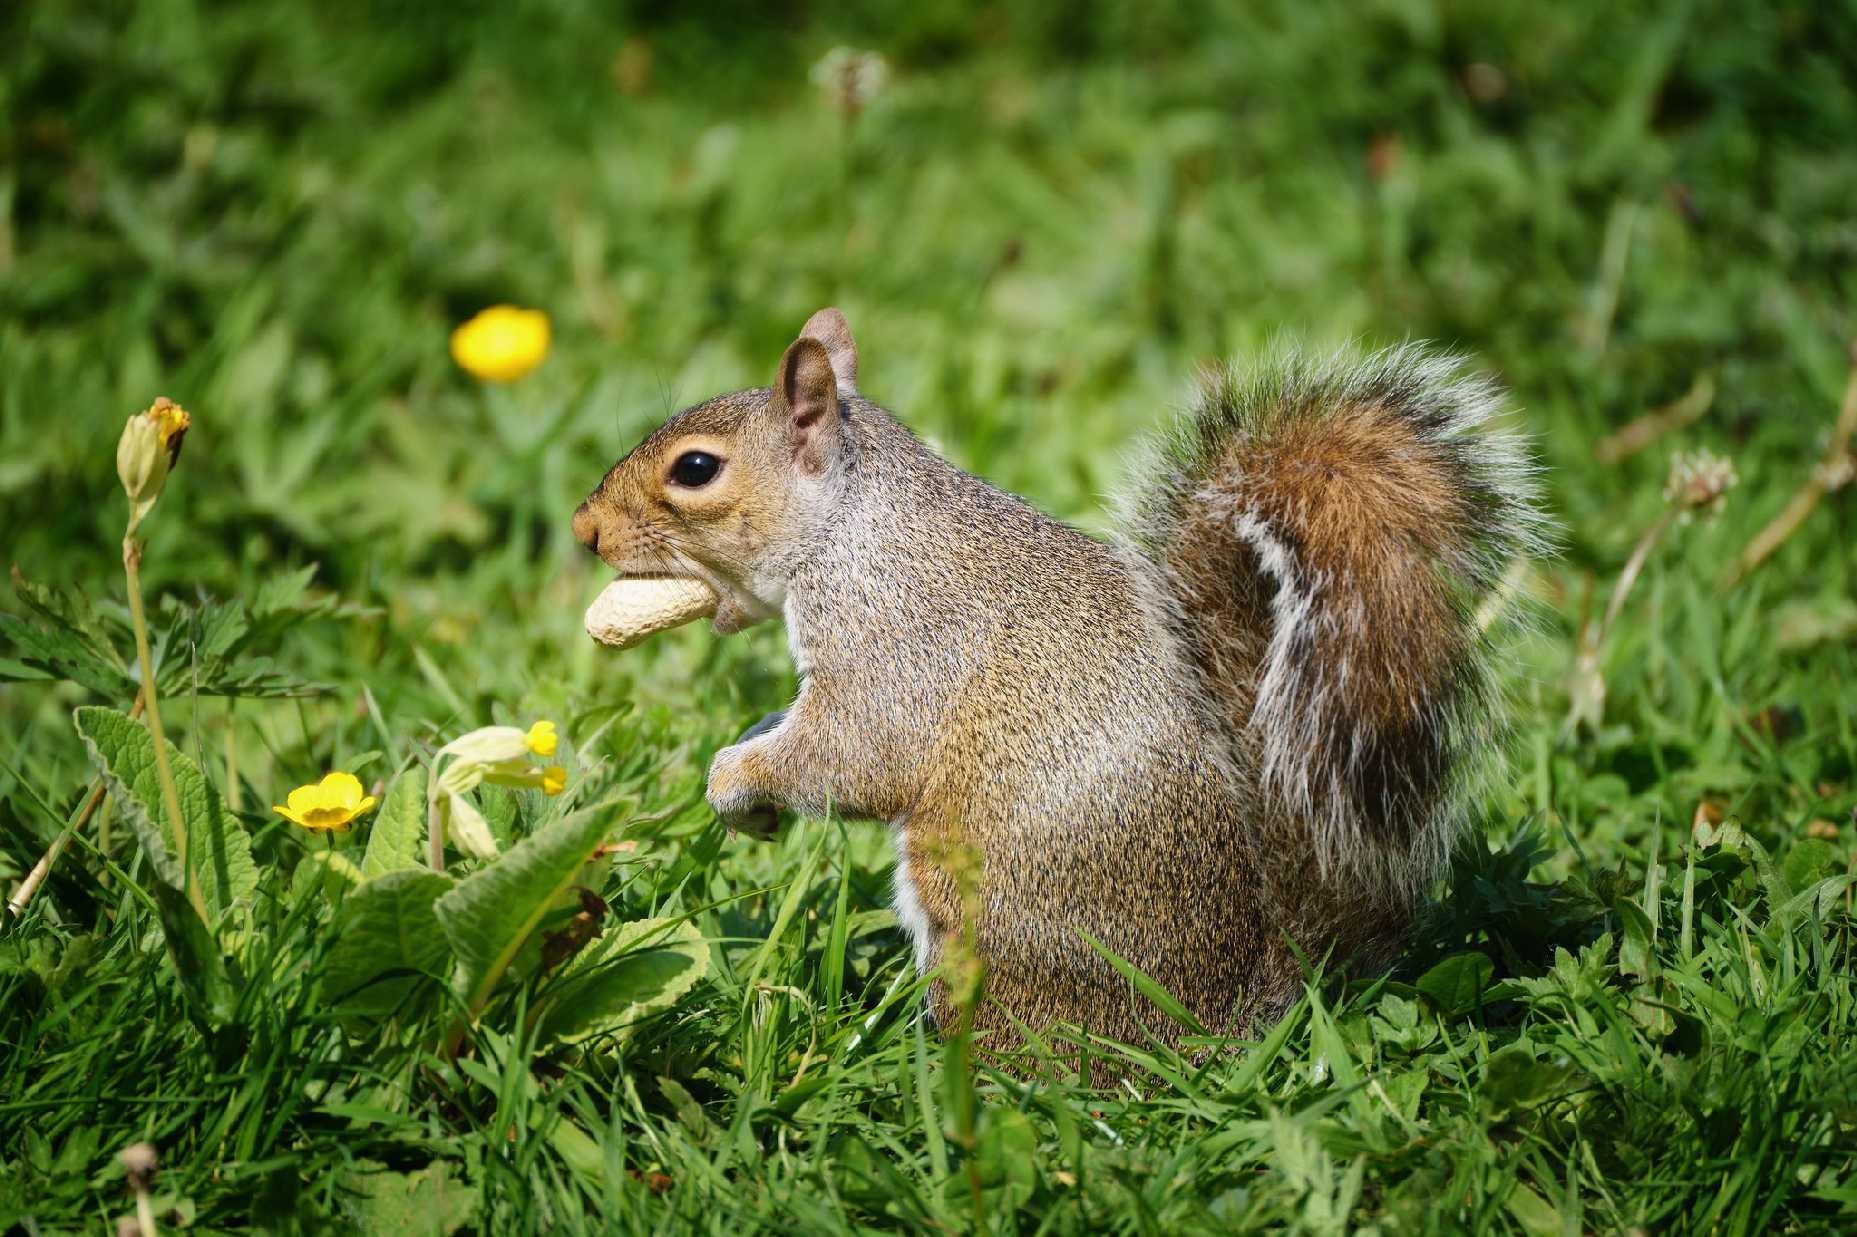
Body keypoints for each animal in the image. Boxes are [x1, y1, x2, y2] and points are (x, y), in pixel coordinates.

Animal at [571, 308, 1545, 1040]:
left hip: (1002, 928)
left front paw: (736, 778)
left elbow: (856, 752)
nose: (584, 529)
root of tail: (1251, 998)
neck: (853, 523)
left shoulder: (897, 638)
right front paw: (743, 776)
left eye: (696, 468)